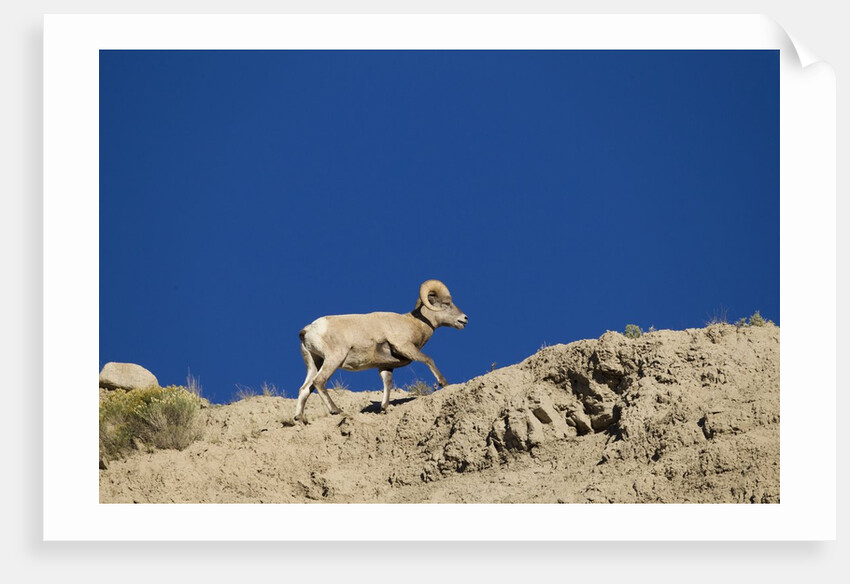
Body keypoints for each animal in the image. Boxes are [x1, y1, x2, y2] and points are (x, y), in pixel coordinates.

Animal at [294, 280, 468, 421]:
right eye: (446, 303)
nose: (465, 319)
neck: (415, 324)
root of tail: (309, 330)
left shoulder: (385, 366)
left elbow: (387, 383)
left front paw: (384, 407)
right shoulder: (405, 347)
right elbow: (428, 359)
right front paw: (444, 383)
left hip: (315, 363)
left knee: (304, 389)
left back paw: (300, 419)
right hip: (334, 359)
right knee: (319, 382)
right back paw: (336, 410)